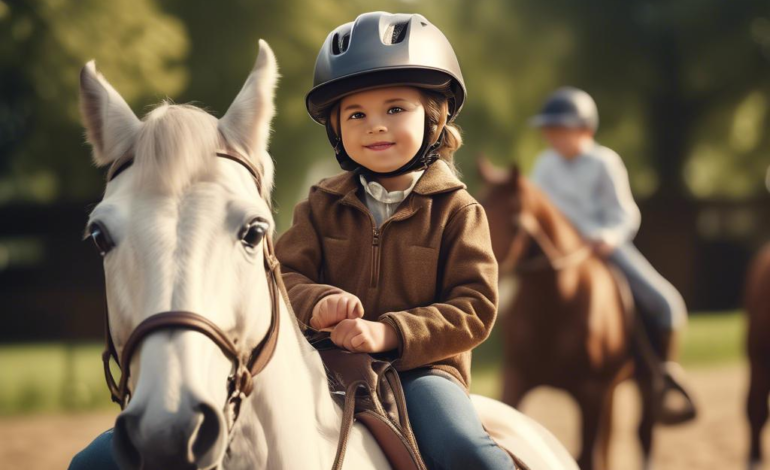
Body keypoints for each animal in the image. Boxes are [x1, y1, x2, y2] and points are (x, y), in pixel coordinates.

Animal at [474, 159, 656, 470]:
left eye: (515, 221)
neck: (556, 311)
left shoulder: (592, 392)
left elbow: (587, 455)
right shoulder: (516, 377)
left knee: (642, 432)